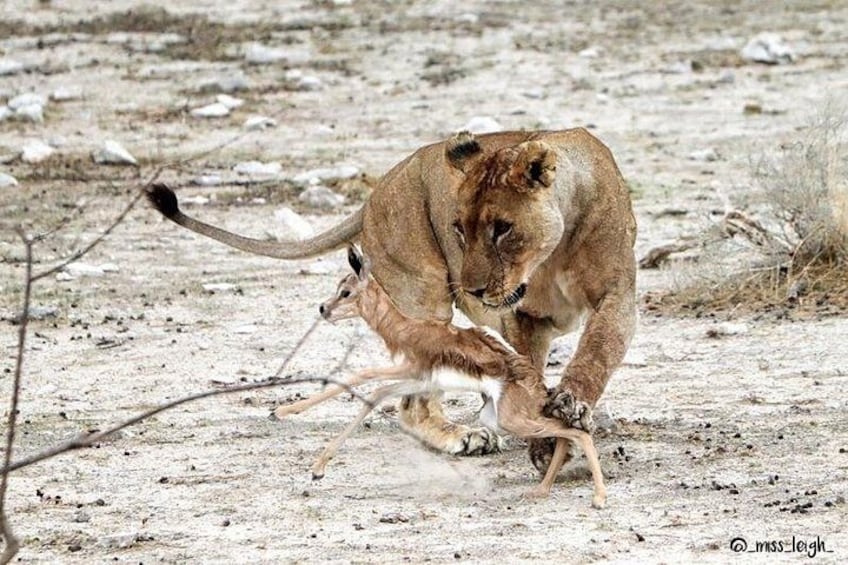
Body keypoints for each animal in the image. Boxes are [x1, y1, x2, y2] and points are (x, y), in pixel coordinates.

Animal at [146, 128, 637, 472]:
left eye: (502, 228)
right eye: (459, 229)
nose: (473, 290)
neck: (551, 252)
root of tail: (376, 190)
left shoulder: (617, 295)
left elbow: (597, 350)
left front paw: (568, 407)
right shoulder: (523, 315)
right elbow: (531, 369)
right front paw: (546, 438)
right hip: (424, 298)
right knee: (412, 403)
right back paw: (463, 438)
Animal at [277, 246, 606, 507]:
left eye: (346, 292)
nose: (323, 308)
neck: (405, 328)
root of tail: (539, 389)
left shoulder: (410, 370)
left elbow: (365, 378)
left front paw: (289, 420)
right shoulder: (419, 380)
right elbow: (375, 391)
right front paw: (311, 457)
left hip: (513, 420)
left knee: (577, 432)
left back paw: (598, 498)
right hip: (497, 419)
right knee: (567, 429)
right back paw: (541, 490)